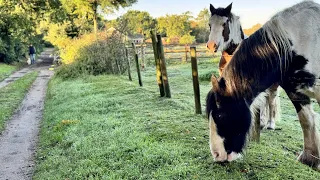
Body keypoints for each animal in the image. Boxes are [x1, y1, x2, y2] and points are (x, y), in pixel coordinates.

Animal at [206, 0, 320, 169]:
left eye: (220, 115)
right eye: (209, 24)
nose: (217, 155)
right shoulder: (294, 91)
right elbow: (306, 119)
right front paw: (310, 158)